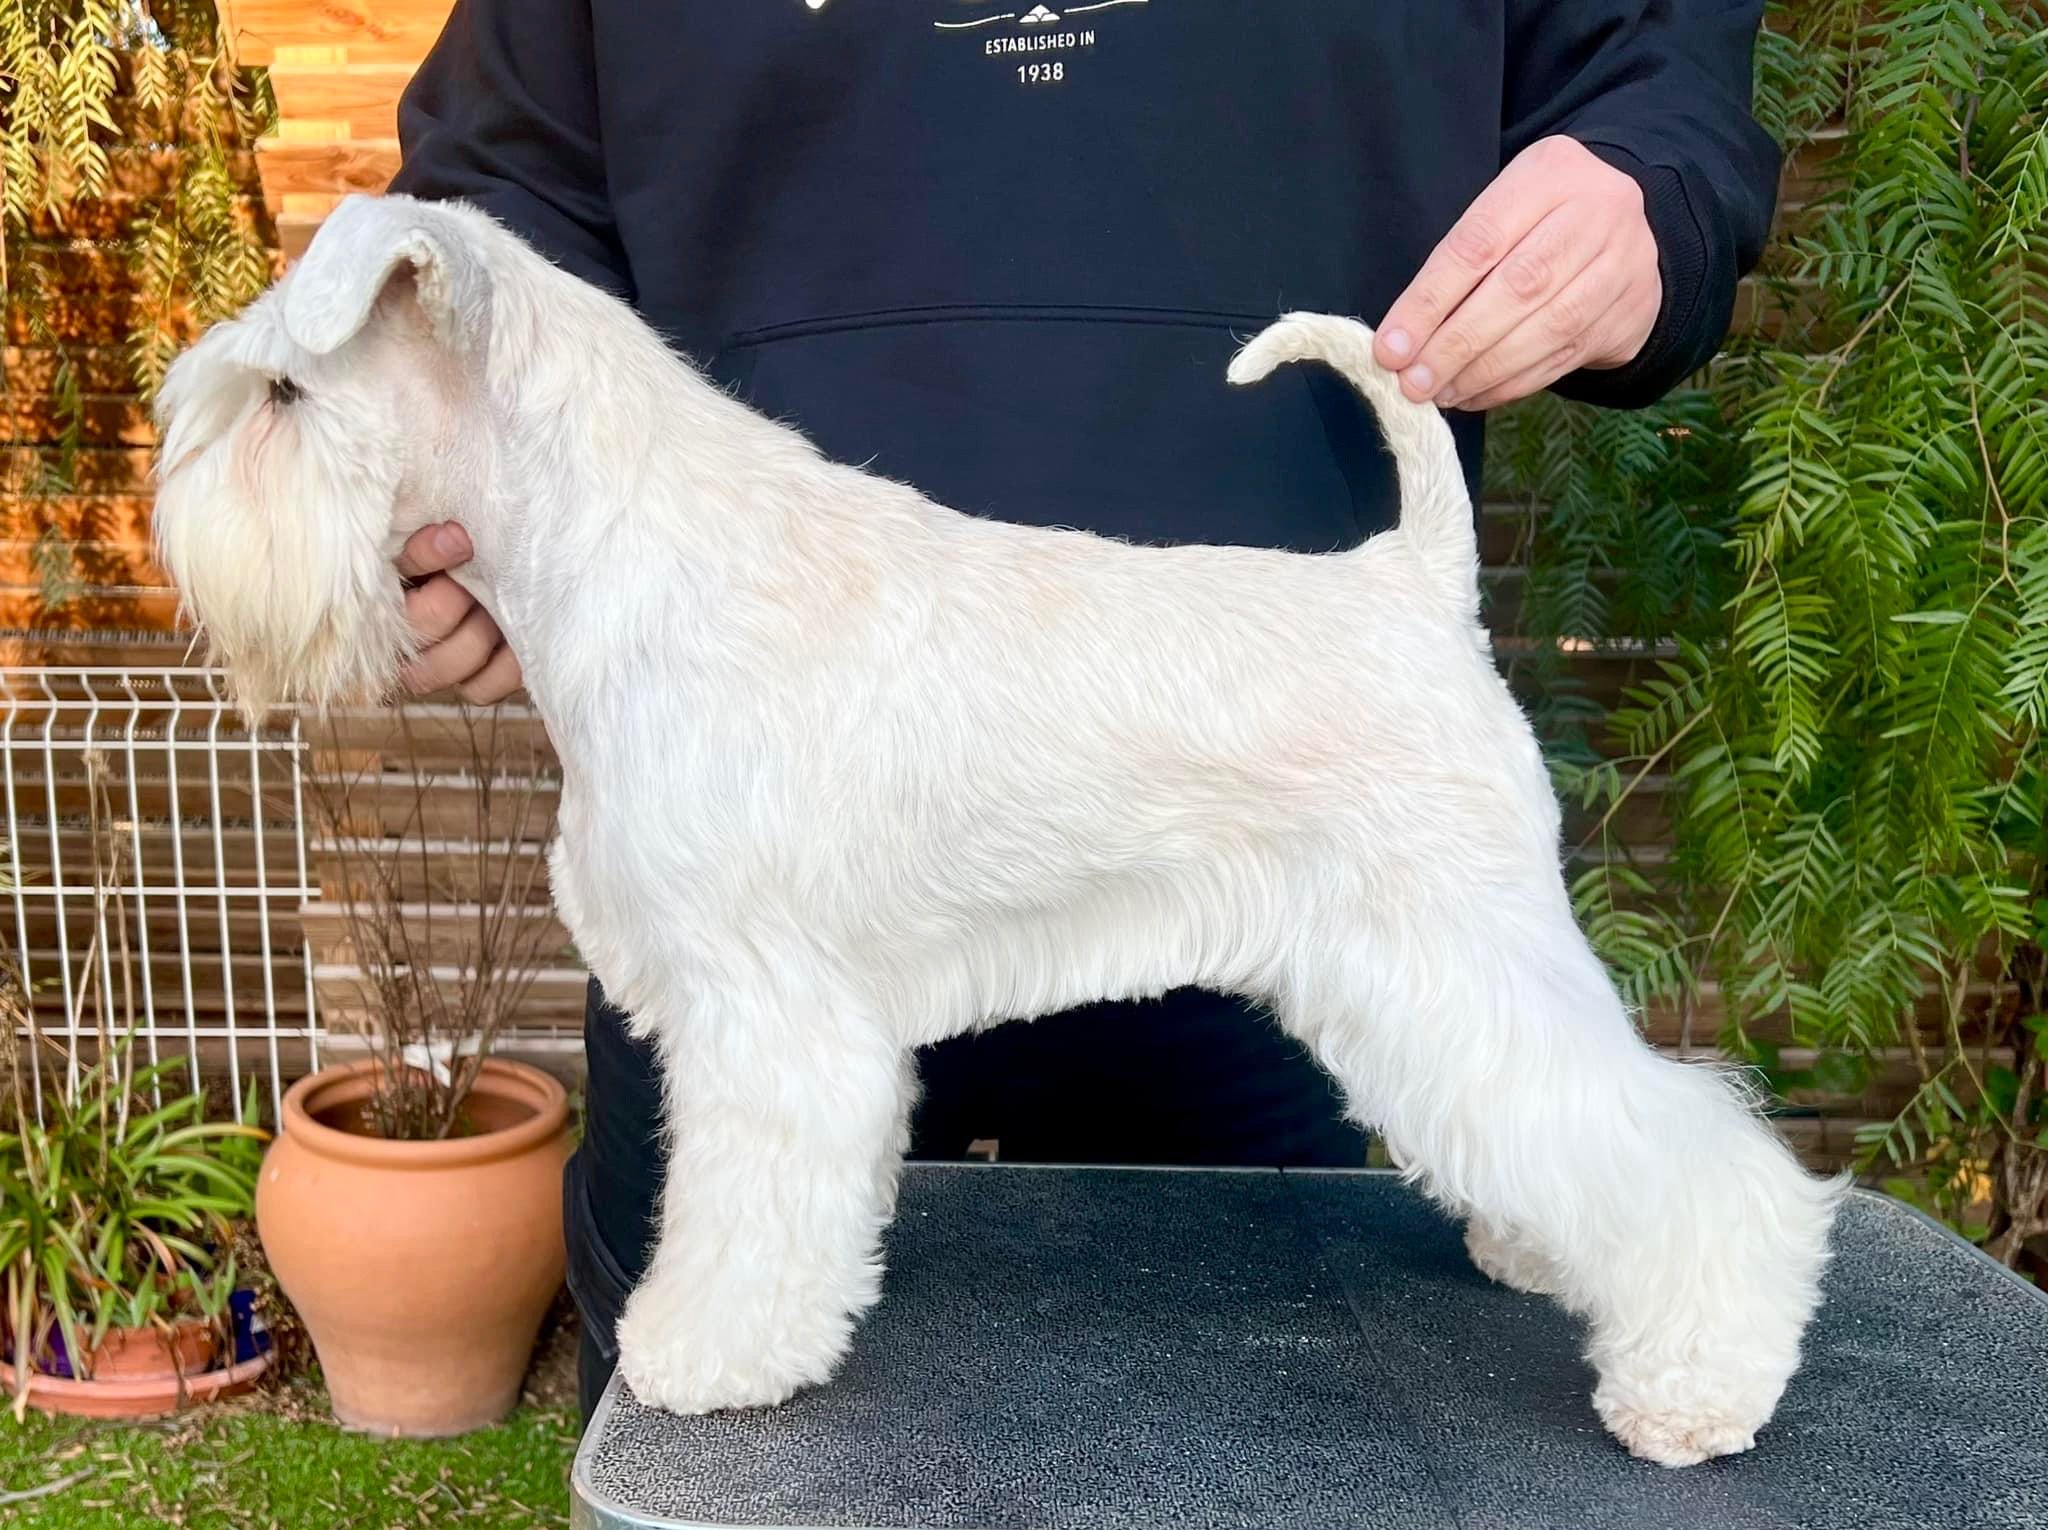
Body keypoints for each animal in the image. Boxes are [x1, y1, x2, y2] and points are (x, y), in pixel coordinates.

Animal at [155, 194, 1843, 1474]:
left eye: (287, 393)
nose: (178, 528)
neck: (636, 551)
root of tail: (1415, 585)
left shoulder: (768, 1014)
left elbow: (743, 1218)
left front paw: (706, 1351)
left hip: (1454, 952)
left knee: (1683, 1152)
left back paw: (1695, 1386)